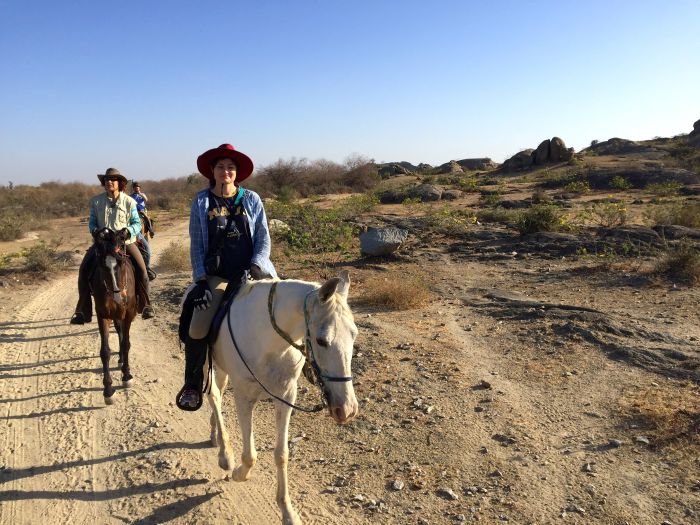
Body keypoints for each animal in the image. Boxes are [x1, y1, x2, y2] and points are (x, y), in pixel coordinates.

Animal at [90, 227, 138, 404]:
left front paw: (127, 375)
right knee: (119, 331)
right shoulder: (103, 315)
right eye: (101, 266)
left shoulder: (128, 314)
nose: (119, 298)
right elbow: (105, 351)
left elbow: (126, 344)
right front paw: (108, 389)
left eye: (122, 262)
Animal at [202, 270, 356, 524]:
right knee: (213, 396)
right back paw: (225, 455)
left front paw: (287, 511)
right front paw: (239, 473)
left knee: (218, 395)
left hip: (221, 368)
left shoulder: (286, 396)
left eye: (354, 335)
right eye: (322, 340)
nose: (347, 410)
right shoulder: (244, 396)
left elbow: (281, 454)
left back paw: (216, 437)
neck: (267, 341)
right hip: (208, 364)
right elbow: (250, 455)